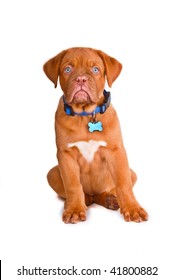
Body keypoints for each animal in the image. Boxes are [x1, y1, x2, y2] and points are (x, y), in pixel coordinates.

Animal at [43, 47, 147, 224]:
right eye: (67, 69)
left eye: (96, 70)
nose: (81, 79)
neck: (85, 114)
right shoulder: (65, 155)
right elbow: (73, 185)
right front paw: (74, 209)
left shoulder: (117, 152)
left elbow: (123, 184)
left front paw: (132, 208)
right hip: (52, 173)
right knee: (85, 195)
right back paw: (82, 201)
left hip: (131, 173)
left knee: (108, 191)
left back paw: (111, 199)